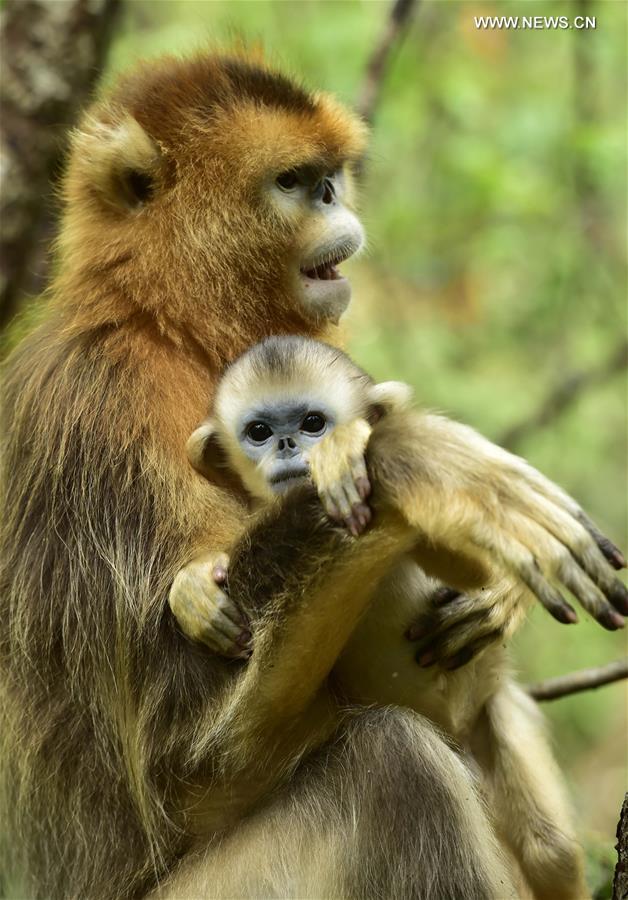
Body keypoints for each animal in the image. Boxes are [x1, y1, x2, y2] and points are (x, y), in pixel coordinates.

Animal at [2, 52, 624, 896]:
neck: (165, 325)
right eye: (294, 181)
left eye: (328, 177)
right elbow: (197, 761)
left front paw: (494, 591)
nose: (333, 197)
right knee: (395, 763)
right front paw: (415, 462)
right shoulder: (107, 419)